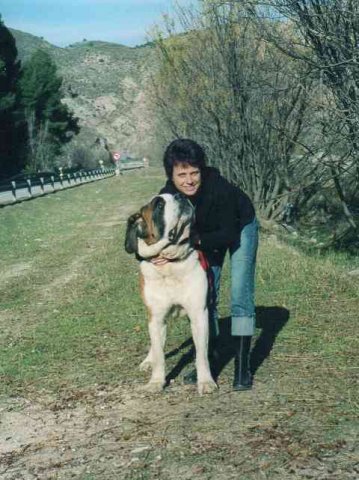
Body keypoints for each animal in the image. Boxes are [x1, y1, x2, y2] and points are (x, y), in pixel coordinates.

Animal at [125, 193, 218, 396]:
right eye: (159, 205)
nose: (180, 195)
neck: (169, 262)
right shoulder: (156, 318)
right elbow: (159, 355)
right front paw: (156, 382)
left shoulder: (199, 314)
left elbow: (201, 353)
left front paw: (206, 381)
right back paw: (148, 360)